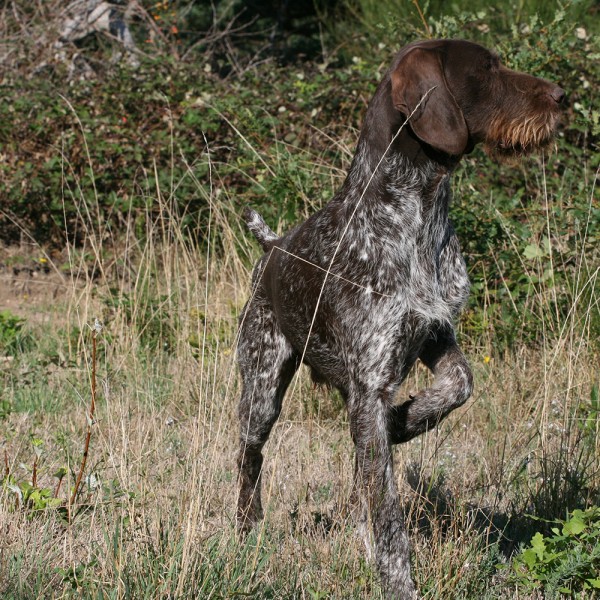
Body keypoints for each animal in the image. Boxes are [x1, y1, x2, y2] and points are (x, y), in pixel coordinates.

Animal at [233, 39, 564, 596]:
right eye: (487, 69)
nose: (563, 96)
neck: (416, 218)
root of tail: (272, 246)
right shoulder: (371, 382)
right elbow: (389, 519)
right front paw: (399, 584)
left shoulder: (432, 335)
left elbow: (460, 383)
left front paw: (406, 420)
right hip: (261, 388)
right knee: (249, 459)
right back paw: (246, 529)